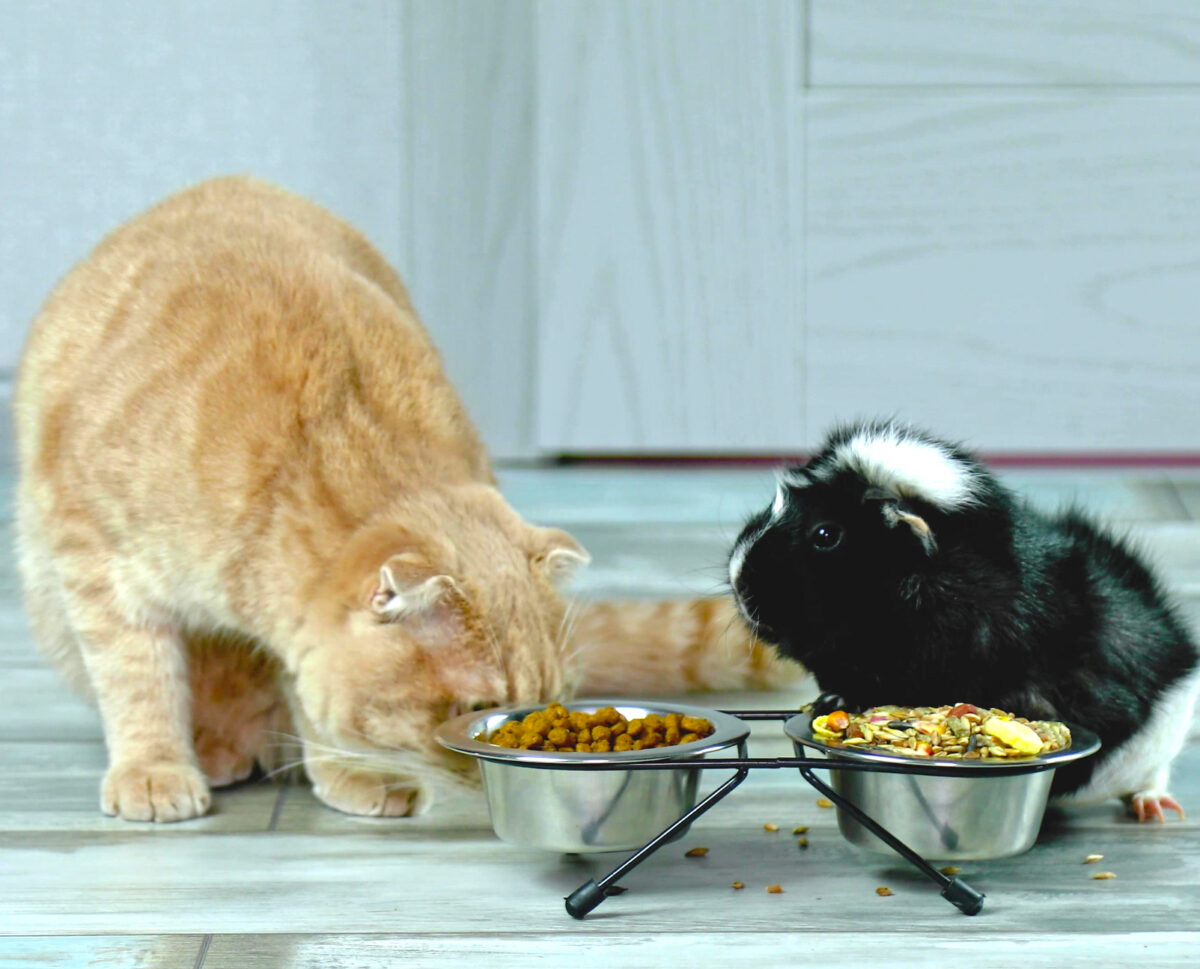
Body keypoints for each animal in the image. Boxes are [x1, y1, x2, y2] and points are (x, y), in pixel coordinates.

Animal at [14, 177, 796, 820]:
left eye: (548, 699)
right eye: (480, 707)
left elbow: (306, 695)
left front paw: (348, 769)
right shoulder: (89, 549)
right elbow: (136, 674)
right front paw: (154, 767)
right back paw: (216, 745)